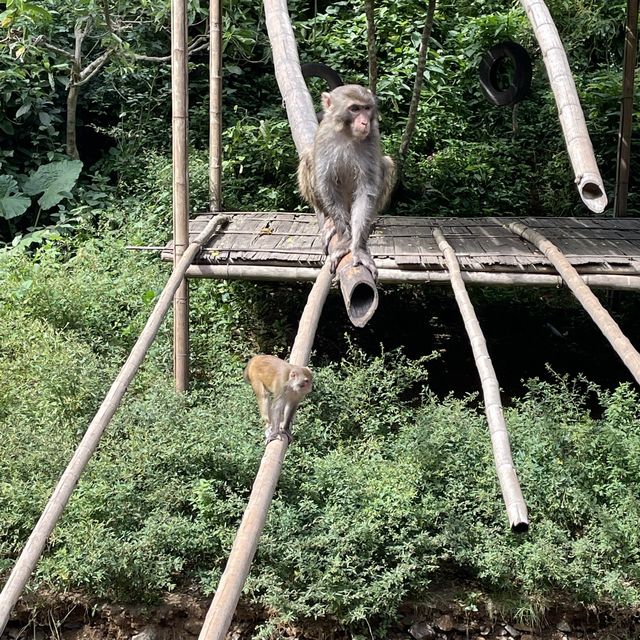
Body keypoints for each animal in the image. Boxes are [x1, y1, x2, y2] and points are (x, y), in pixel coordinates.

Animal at [296, 83, 396, 278]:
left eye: (367, 108)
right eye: (354, 109)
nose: (364, 122)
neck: (348, 133)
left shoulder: (372, 138)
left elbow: (366, 191)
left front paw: (358, 248)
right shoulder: (324, 137)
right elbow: (326, 185)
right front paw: (344, 240)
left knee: (387, 164)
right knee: (308, 158)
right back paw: (330, 223)